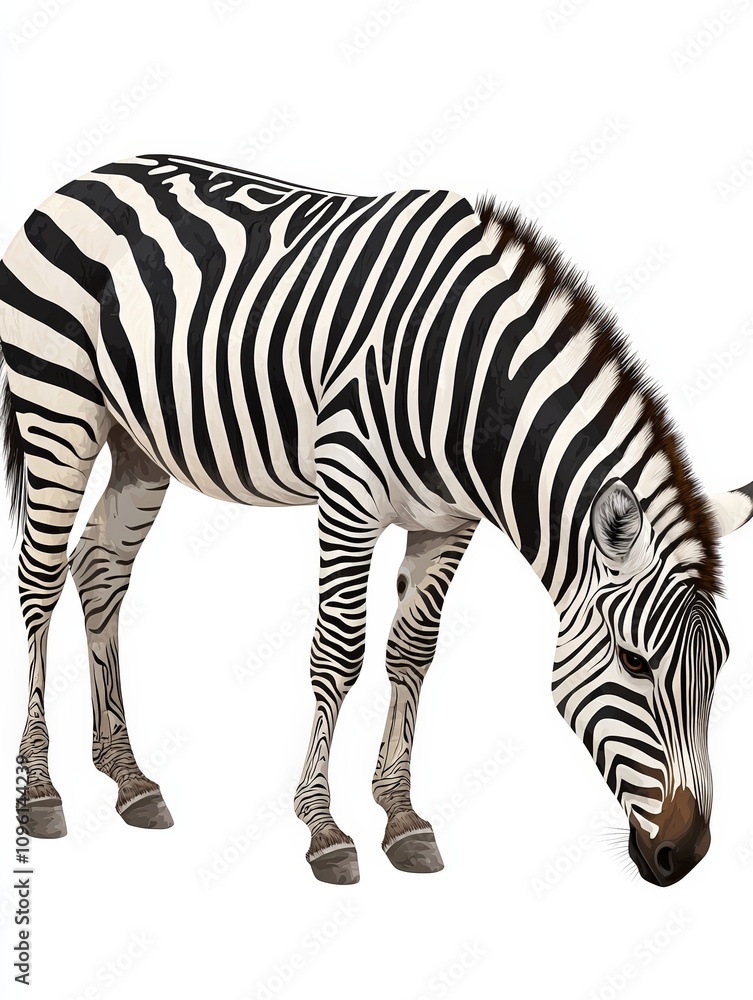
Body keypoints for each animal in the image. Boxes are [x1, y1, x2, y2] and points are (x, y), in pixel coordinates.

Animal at [1, 154, 751, 888]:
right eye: (635, 662)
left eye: (719, 668)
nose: (684, 855)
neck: (466, 381)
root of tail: (85, 176)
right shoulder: (347, 493)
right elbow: (338, 652)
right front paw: (323, 828)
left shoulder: (447, 521)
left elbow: (412, 652)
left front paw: (401, 816)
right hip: (57, 411)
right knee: (39, 577)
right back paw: (40, 791)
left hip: (139, 444)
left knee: (100, 569)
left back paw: (128, 779)